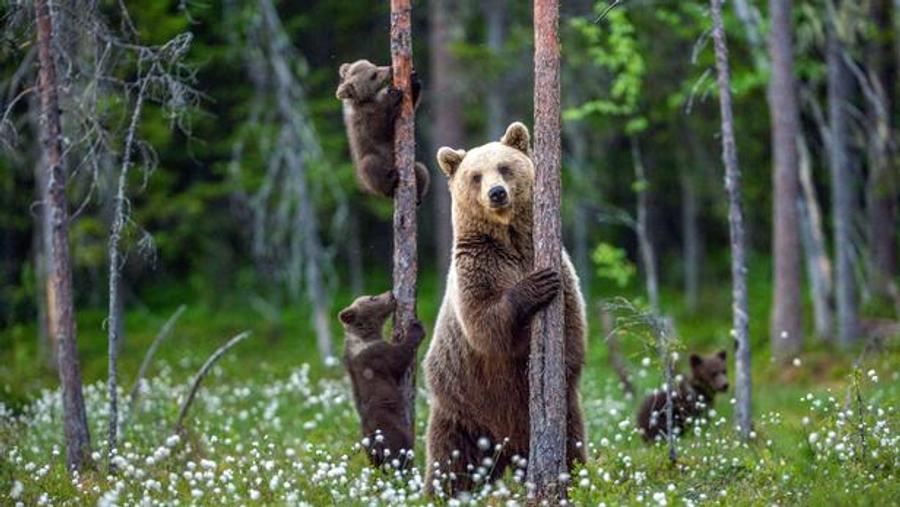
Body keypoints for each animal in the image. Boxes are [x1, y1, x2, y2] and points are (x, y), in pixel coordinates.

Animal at [336, 59, 429, 203]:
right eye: (373, 75)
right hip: (371, 165)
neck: (369, 100)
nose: (391, 69)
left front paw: (414, 79)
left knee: (422, 170)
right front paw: (394, 97)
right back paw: (391, 180)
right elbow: (378, 130)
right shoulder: (363, 120)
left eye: (374, 65)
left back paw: (418, 196)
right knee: (370, 165)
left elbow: (411, 105)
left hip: (413, 168)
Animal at [339, 291, 425, 468]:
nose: (391, 294)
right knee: (402, 447)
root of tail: (376, 445)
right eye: (372, 298)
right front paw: (415, 327)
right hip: (391, 428)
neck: (365, 335)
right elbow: (399, 358)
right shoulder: (376, 356)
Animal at [422, 122, 587, 495]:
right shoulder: (477, 268)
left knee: (572, 443)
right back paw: (439, 493)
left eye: (504, 167)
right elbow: (485, 324)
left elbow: (571, 326)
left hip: (559, 416)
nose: (496, 193)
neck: (510, 240)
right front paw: (535, 285)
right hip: (462, 408)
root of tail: (508, 448)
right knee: (450, 462)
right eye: (475, 175)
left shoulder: (559, 266)